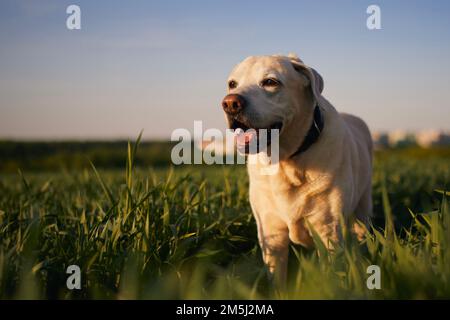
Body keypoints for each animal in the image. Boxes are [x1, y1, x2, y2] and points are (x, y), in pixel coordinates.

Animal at [221, 54, 372, 284]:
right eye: (232, 84)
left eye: (270, 82)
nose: (230, 103)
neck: (285, 162)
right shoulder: (270, 233)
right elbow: (276, 278)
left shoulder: (328, 232)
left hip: (363, 208)